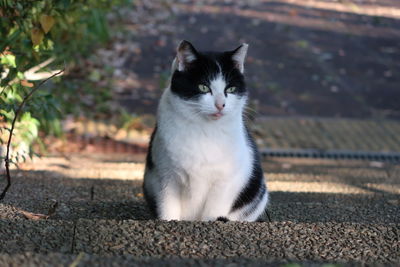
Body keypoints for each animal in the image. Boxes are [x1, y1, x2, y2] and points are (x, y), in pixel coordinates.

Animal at [141, 40, 268, 223]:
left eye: (230, 89)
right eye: (203, 87)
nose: (220, 104)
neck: (205, 131)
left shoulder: (224, 182)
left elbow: (213, 212)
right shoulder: (167, 177)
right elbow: (168, 209)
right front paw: (169, 221)